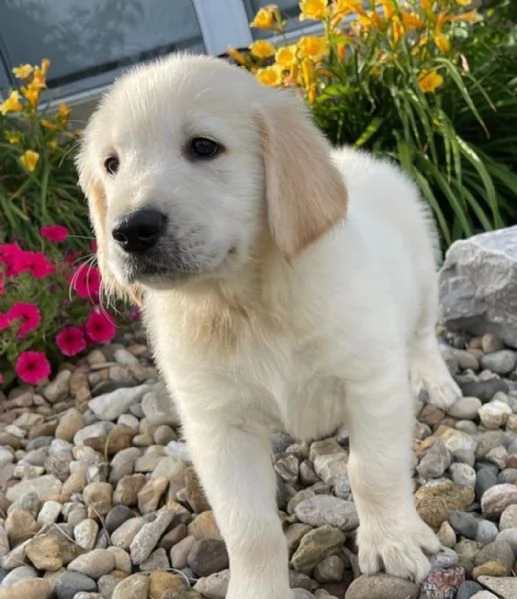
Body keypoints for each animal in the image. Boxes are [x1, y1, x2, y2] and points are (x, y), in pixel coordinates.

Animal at [76, 52, 460, 599]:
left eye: (204, 146)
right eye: (111, 165)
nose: (129, 231)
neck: (243, 302)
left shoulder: (372, 382)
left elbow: (373, 470)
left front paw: (393, 542)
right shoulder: (218, 426)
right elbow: (248, 526)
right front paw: (258, 587)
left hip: (425, 273)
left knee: (425, 335)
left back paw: (439, 384)